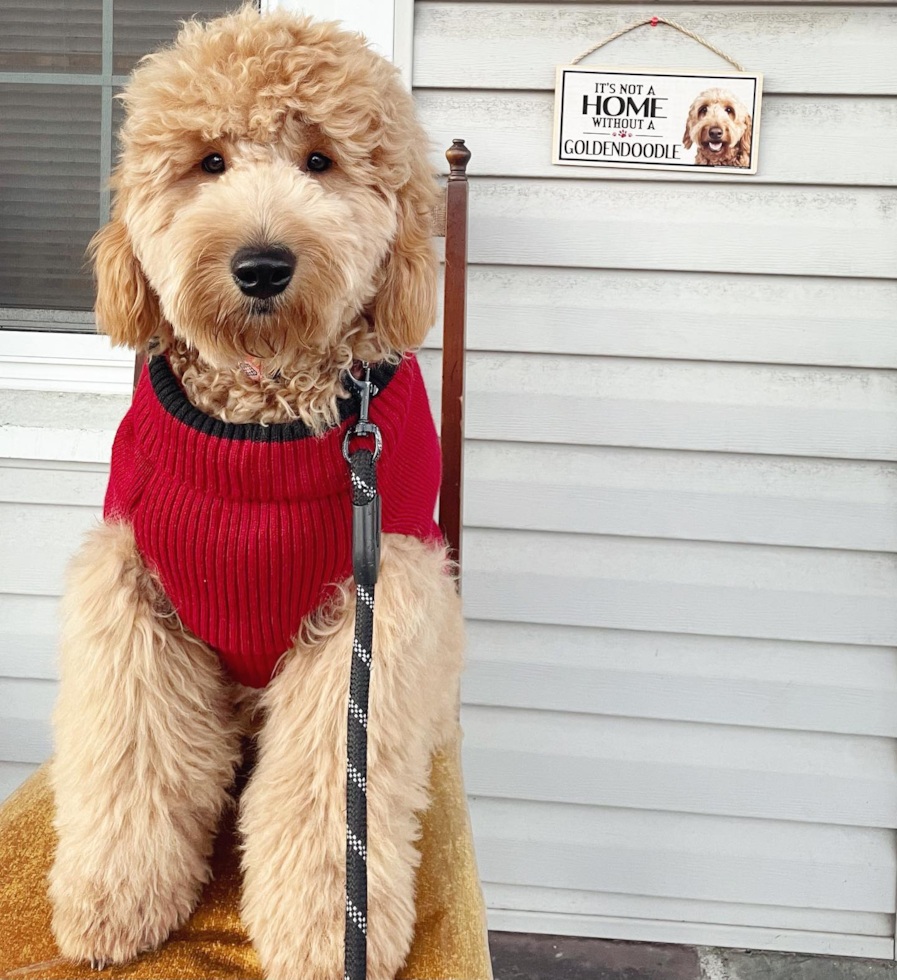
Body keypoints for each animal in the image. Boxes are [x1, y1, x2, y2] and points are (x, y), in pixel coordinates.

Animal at [50, 7, 462, 980]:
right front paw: (112, 900)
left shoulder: (372, 610)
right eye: (209, 162)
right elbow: (129, 751)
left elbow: (330, 793)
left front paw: (327, 936)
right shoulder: (134, 589)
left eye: (320, 161)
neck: (263, 416)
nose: (263, 265)